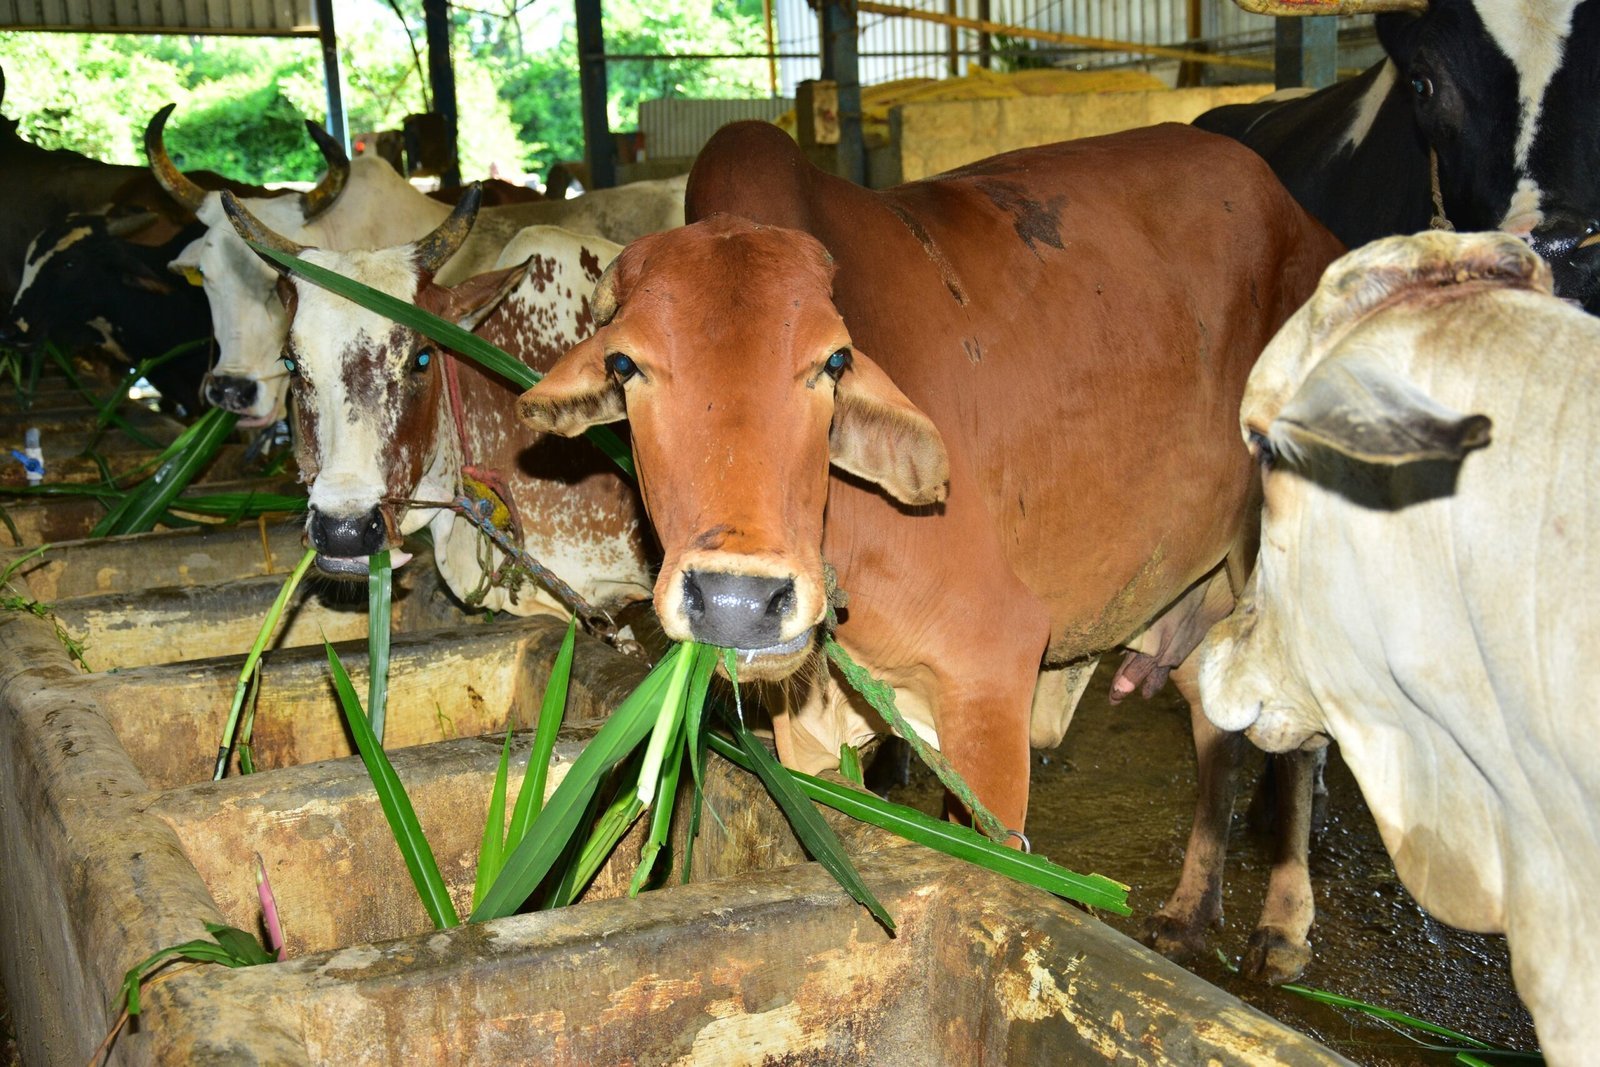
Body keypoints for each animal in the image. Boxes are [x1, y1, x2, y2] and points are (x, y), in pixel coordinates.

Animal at [516, 120, 1345, 979]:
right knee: (1218, 727)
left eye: (833, 361)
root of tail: (1304, 223)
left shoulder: (992, 665)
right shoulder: (807, 727)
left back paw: (1283, 924)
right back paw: (1190, 911)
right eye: (624, 362)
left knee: (1299, 736)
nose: (737, 601)